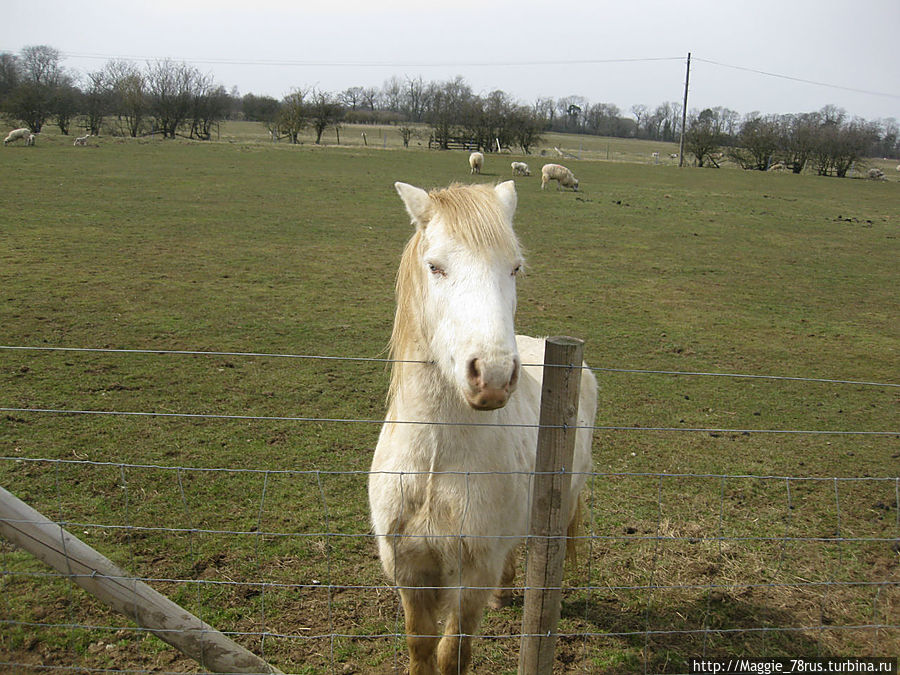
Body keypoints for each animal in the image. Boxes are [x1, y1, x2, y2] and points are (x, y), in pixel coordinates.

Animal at [370, 181, 596, 675]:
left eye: (514, 268)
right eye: (434, 266)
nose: (491, 375)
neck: (435, 463)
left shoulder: (471, 575)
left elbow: (453, 653)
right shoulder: (408, 569)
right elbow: (420, 646)